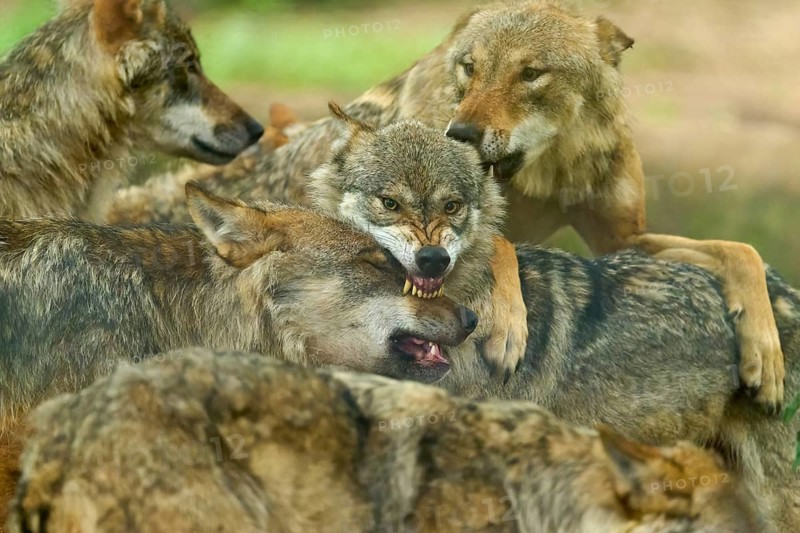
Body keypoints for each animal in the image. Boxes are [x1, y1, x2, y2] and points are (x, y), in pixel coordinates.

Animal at [108, 0, 784, 411]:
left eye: (532, 74)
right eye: (469, 67)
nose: (459, 132)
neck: (546, 170)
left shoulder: (623, 240)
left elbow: (743, 251)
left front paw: (767, 358)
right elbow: (502, 242)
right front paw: (508, 327)